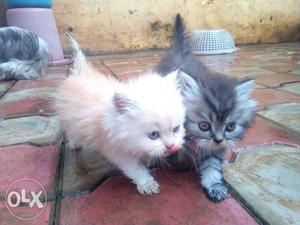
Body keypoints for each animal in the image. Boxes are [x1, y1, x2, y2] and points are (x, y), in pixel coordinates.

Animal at [54, 34, 185, 195]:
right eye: (154, 135)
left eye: (176, 129)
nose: (171, 147)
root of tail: (81, 72)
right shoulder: (114, 148)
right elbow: (134, 168)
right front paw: (147, 183)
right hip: (67, 118)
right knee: (70, 130)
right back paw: (74, 143)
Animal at [156, 14, 256, 203]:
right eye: (204, 125)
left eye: (230, 127)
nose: (217, 139)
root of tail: (181, 50)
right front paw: (177, 161)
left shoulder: (216, 148)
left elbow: (212, 165)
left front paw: (214, 185)